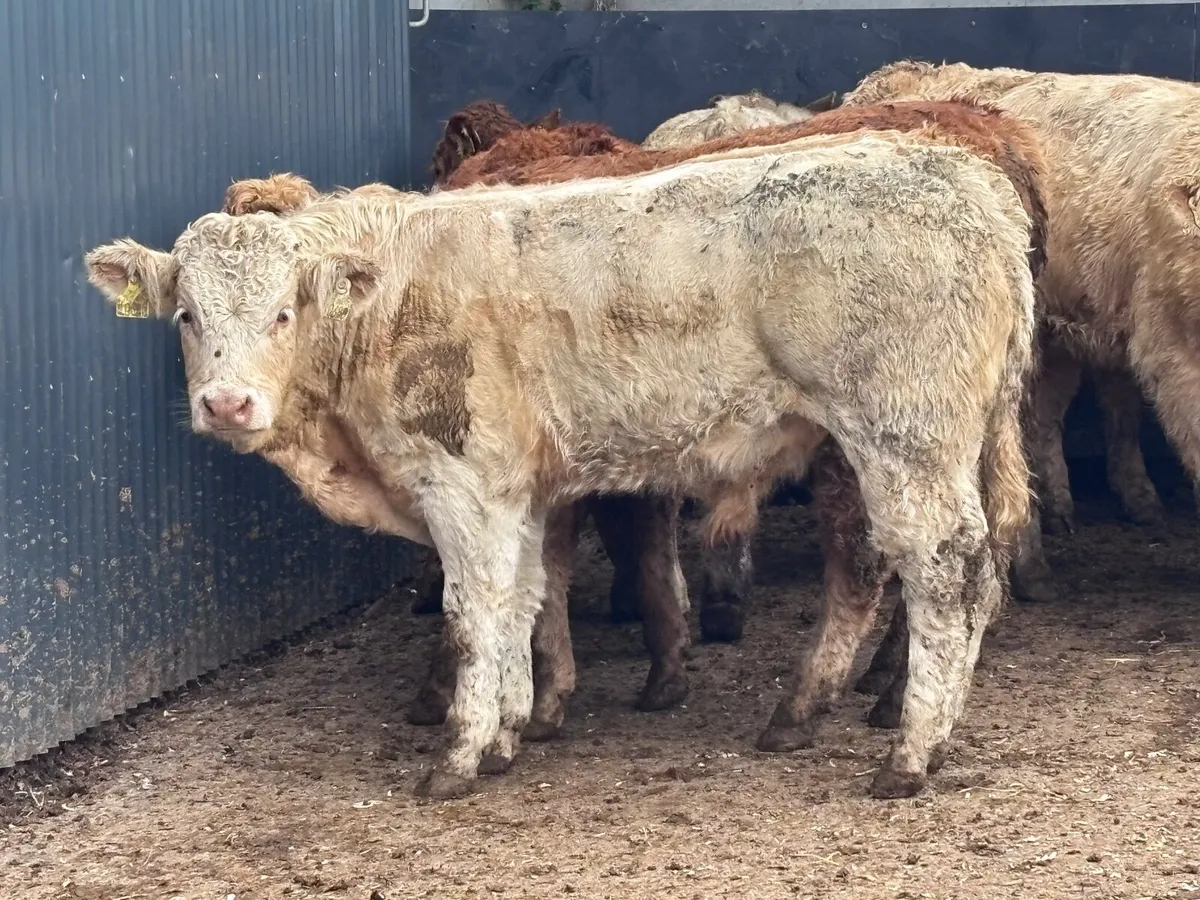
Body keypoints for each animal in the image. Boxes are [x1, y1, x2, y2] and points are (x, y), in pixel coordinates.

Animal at [88, 130, 1036, 799]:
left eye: (285, 310)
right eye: (186, 314)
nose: (227, 405)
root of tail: (963, 176)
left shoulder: (459, 482)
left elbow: (472, 611)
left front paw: (459, 754)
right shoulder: (516, 489)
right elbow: (523, 600)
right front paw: (510, 730)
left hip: (904, 436)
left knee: (943, 570)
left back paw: (910, 753)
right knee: (938, 569)